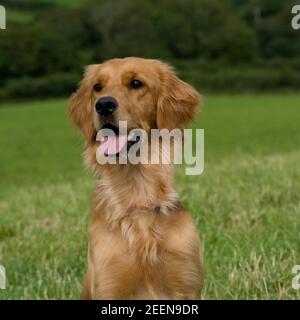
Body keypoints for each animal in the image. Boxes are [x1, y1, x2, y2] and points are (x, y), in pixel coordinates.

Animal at [69, 56, 203, 298]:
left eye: (136, 83)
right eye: (97, 87)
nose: (103, 105)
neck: (137, 193)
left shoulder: (186, 283)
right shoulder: (110, 284)